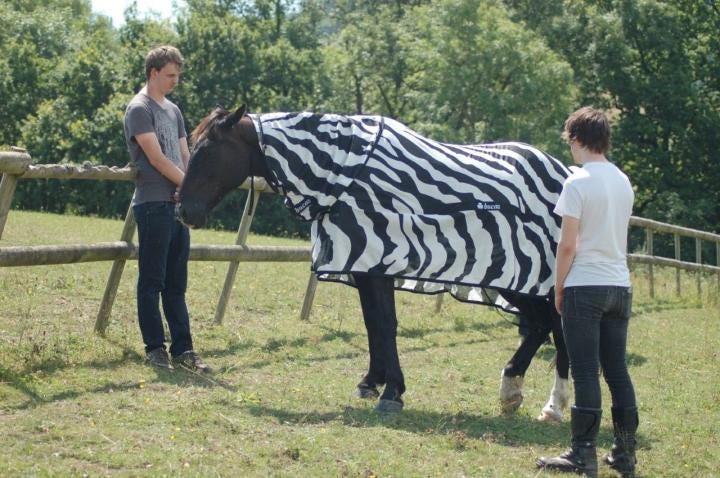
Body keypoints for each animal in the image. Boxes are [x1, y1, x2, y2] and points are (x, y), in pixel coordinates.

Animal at [179, 105, 568, 418]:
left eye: (207, 151)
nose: (183, 211)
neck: (345, 176)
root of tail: (562, 173)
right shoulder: (365, 266)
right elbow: (372, 325)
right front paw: (372, 382)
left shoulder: (380, 260)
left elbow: (385, 323)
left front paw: (393, 392)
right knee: (544, 325)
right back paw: (522, 394)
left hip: (527, 277)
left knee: (551, 327)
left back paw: (545, 400)